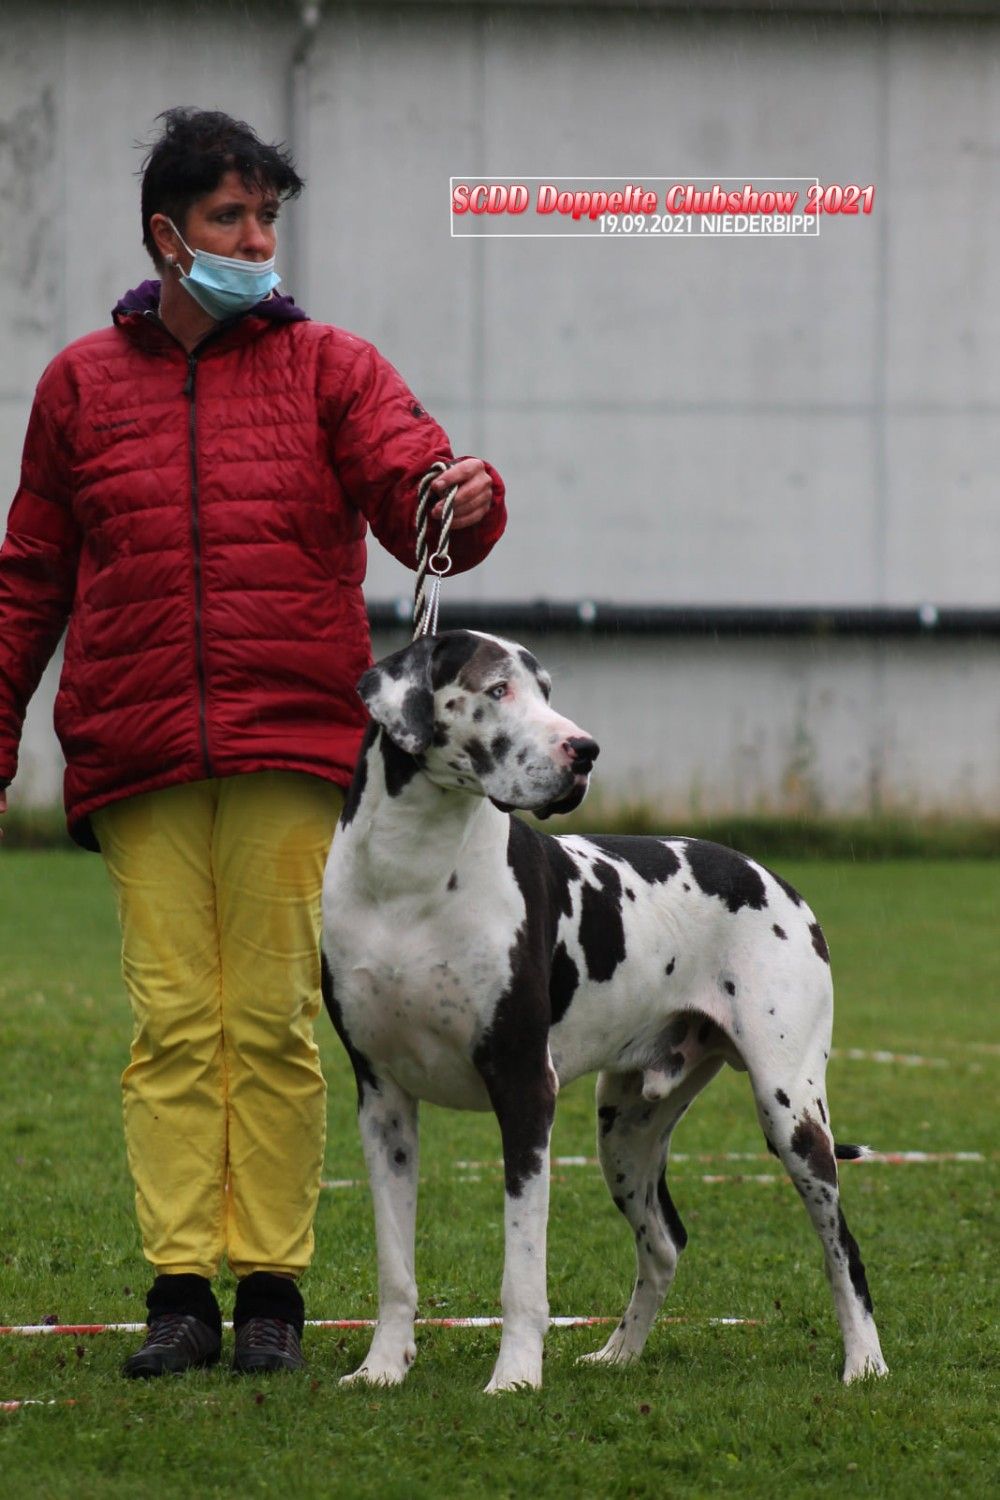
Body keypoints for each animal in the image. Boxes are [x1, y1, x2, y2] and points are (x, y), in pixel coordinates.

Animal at [320, 630, 888, 1392]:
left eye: (547, 691)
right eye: (496, 690)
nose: (584, 750)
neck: (411, 872)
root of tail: (776, 882)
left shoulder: (524, 1090)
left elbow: (522, 1272)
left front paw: (515, 1378)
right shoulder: (381, 1101)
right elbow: (395, 1268)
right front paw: (381, 1367)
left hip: (791, 1111)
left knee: (841, 1245)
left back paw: (865, 1362)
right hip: (625, 1129)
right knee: (665, 1243)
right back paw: (620, 1352)